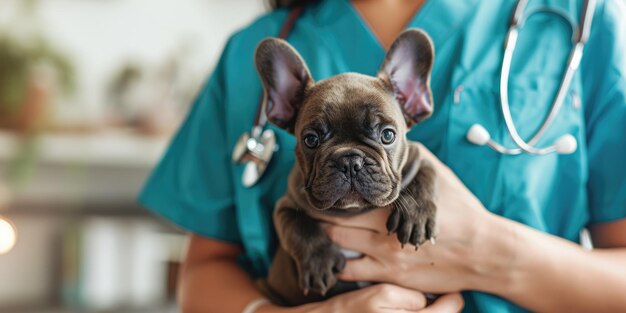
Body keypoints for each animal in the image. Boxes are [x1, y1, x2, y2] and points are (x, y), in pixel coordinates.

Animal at [255, 29, 438, 304]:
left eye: (388, 135)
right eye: (311, 140)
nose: (350, 161)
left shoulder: (421, 157)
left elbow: (426, 173)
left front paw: (417, 216)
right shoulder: (285, 205)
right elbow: (297, 226)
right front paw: (319, 262)